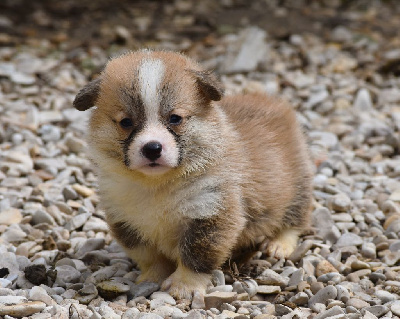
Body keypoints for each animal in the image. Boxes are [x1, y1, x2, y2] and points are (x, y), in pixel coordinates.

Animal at [73, 50, 314, 300]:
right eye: (126, 122)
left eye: (175, 118)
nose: (152, 148)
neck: (157, 185)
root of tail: (272, 102)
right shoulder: (124, 220)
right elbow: (149, 256)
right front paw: (151, 277)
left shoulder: (212, 213)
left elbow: (196, 256)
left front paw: (184, 286)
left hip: (297, 183)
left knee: (296, 218)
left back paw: (279, 244)